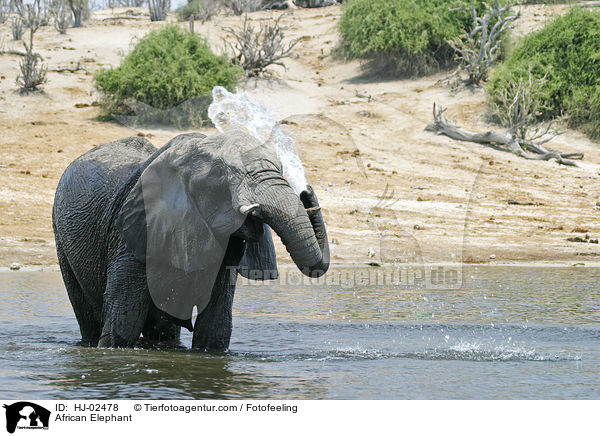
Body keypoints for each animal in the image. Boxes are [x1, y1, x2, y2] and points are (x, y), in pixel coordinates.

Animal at [52, 130, 330, 350]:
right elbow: (124, 321)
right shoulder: (134, 231)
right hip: (61, 236)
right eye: (224, 175)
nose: (306, 190)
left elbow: (215, 327)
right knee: (90, 318)